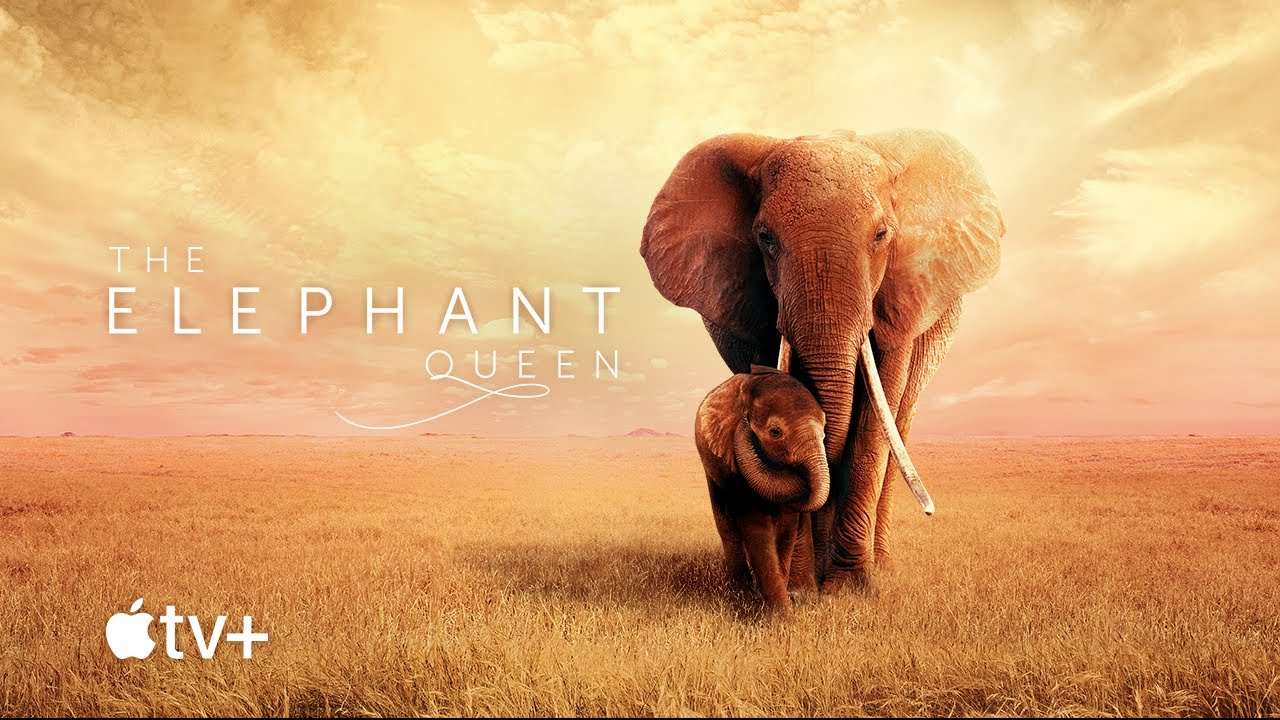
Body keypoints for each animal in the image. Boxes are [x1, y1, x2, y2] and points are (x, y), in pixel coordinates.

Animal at [694, 365, 830, 618]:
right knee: (726, 526)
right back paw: (740, 592)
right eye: (775, 432)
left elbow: (786, 528)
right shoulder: (732, 461)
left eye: (824, 432)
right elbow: (756, 525)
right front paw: (781, 618)